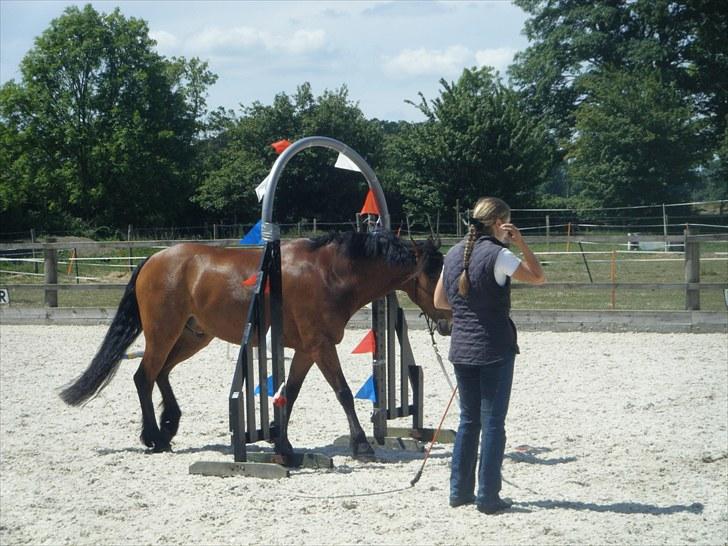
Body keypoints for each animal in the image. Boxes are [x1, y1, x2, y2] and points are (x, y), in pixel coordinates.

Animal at [59, 230, 452, 460]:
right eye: (433, 273)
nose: (449, 321)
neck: (330, 273)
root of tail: (154, 259)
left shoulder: (307, 351)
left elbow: (289, 394)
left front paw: (283, 445)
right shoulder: (320, 346)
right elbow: (342, 392)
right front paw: (362, 445)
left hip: (192, 336)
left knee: (162, 374)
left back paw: (169, 427)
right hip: (163, 332)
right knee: (144, 376)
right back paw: (155, 437)